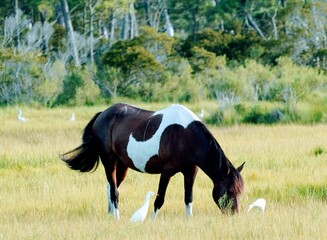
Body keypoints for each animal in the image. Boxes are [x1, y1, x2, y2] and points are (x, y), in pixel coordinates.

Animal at [62, 103, 246, 219]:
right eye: (229, 191)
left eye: (240, 192)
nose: (235, 214)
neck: (185, 135)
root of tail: (103, 114)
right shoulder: (166, 172)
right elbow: (159, 199)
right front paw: (151, 220)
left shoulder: (190, 171)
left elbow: (188, 199)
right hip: (109, 161)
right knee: (114, 192)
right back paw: (117, 217)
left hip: (122, 165)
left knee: (111, 188)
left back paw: (109, 214)